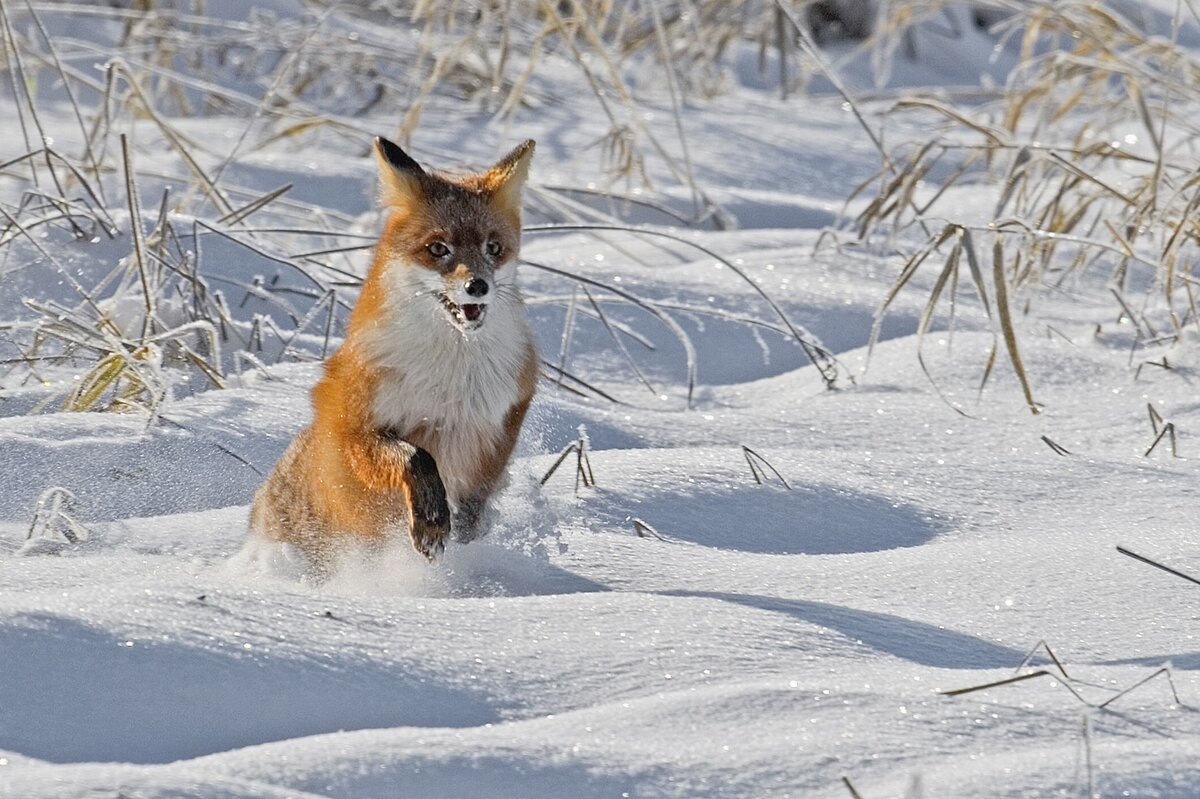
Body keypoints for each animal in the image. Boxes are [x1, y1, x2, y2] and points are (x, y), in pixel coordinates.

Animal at [248, 138, 540, 573]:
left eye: (494, 248)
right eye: (438, 248)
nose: (478, 286)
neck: (449, 380)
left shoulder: (501, 426)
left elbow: (476, 502)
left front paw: (464, 533)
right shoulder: (354, 428)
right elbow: (416, 458)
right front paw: (432, 522)